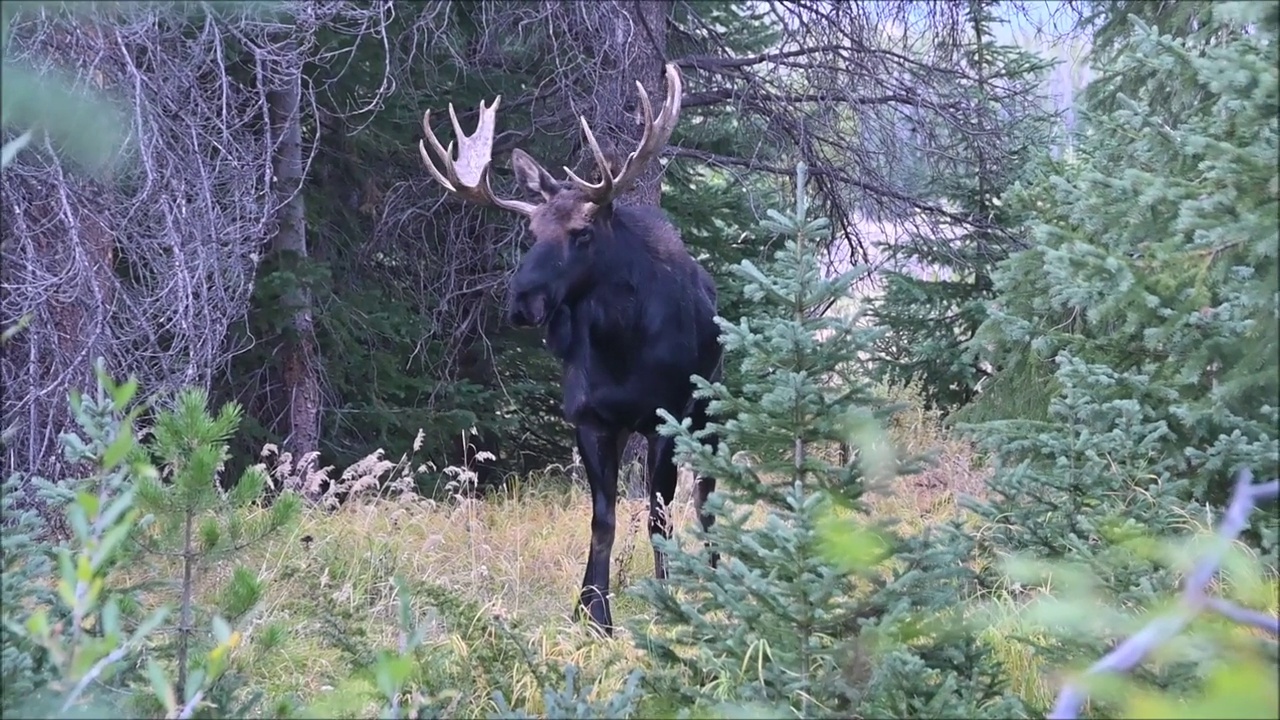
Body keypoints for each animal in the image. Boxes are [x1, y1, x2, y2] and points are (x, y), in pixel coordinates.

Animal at [417, 63, 721, 632]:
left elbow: (659, 513)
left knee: (705, 495)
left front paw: (666, 599)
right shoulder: (590, 418)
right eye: (531, 229)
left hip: (710, 410)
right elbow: (603, 519)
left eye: (582, 231)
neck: (623, 348)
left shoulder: (667, 415)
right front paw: (592, 611)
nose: (522, 300)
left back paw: (716, 574)